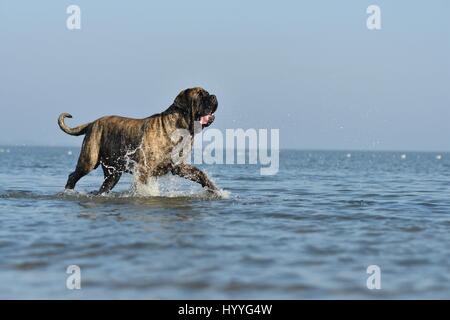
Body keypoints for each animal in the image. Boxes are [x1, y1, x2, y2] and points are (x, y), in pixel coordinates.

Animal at [58, 86, 220, 194]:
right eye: (200, 95)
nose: (213, 96)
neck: (181, 128)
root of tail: (92, 123)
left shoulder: (180, 166)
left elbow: (200, 174)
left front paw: (215, 190)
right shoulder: (143, 169)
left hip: (113, 173)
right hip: (89, 160)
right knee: (73, 175)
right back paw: (68, 191)